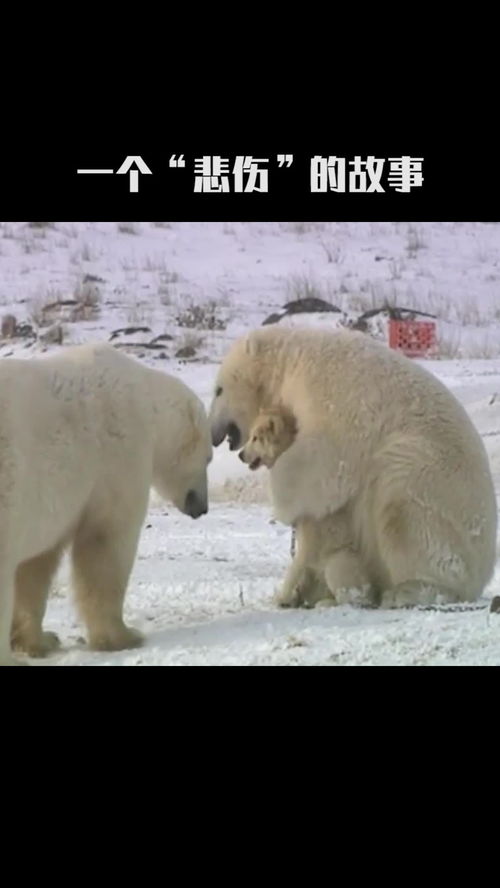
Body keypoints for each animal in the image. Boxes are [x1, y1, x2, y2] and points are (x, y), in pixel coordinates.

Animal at [0, 344, 212, 664]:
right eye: (209, 457)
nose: (203, 506)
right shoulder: (119, 451)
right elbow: (107, 541)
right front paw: (124, 636)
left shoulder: (54, 501)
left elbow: (36, 563)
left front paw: (41, 640)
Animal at [209, 326, 498, 612]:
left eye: (219, 390)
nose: (213, 434)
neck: (293, 359)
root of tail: (483, 573)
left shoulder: (332, 396)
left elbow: (324, 459)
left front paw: (283, 502)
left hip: (434, 482)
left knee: (403, 503)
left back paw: (408, 591)